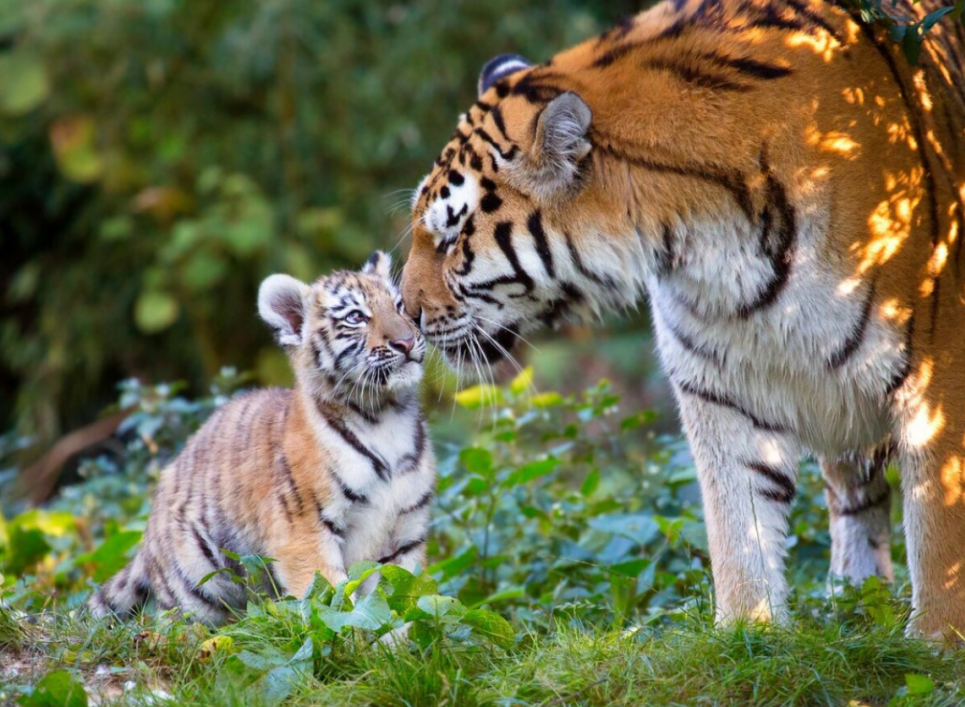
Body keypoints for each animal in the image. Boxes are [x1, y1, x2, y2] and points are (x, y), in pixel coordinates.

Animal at [400, 0, 964, 640]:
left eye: (450, 239)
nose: (405, 312)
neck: (709, 245)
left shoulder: (938, 377)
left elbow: (939, 527)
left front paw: (937, 643)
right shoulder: (719, 386)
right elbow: (738, 525)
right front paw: (749, 632)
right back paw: (854, 597)